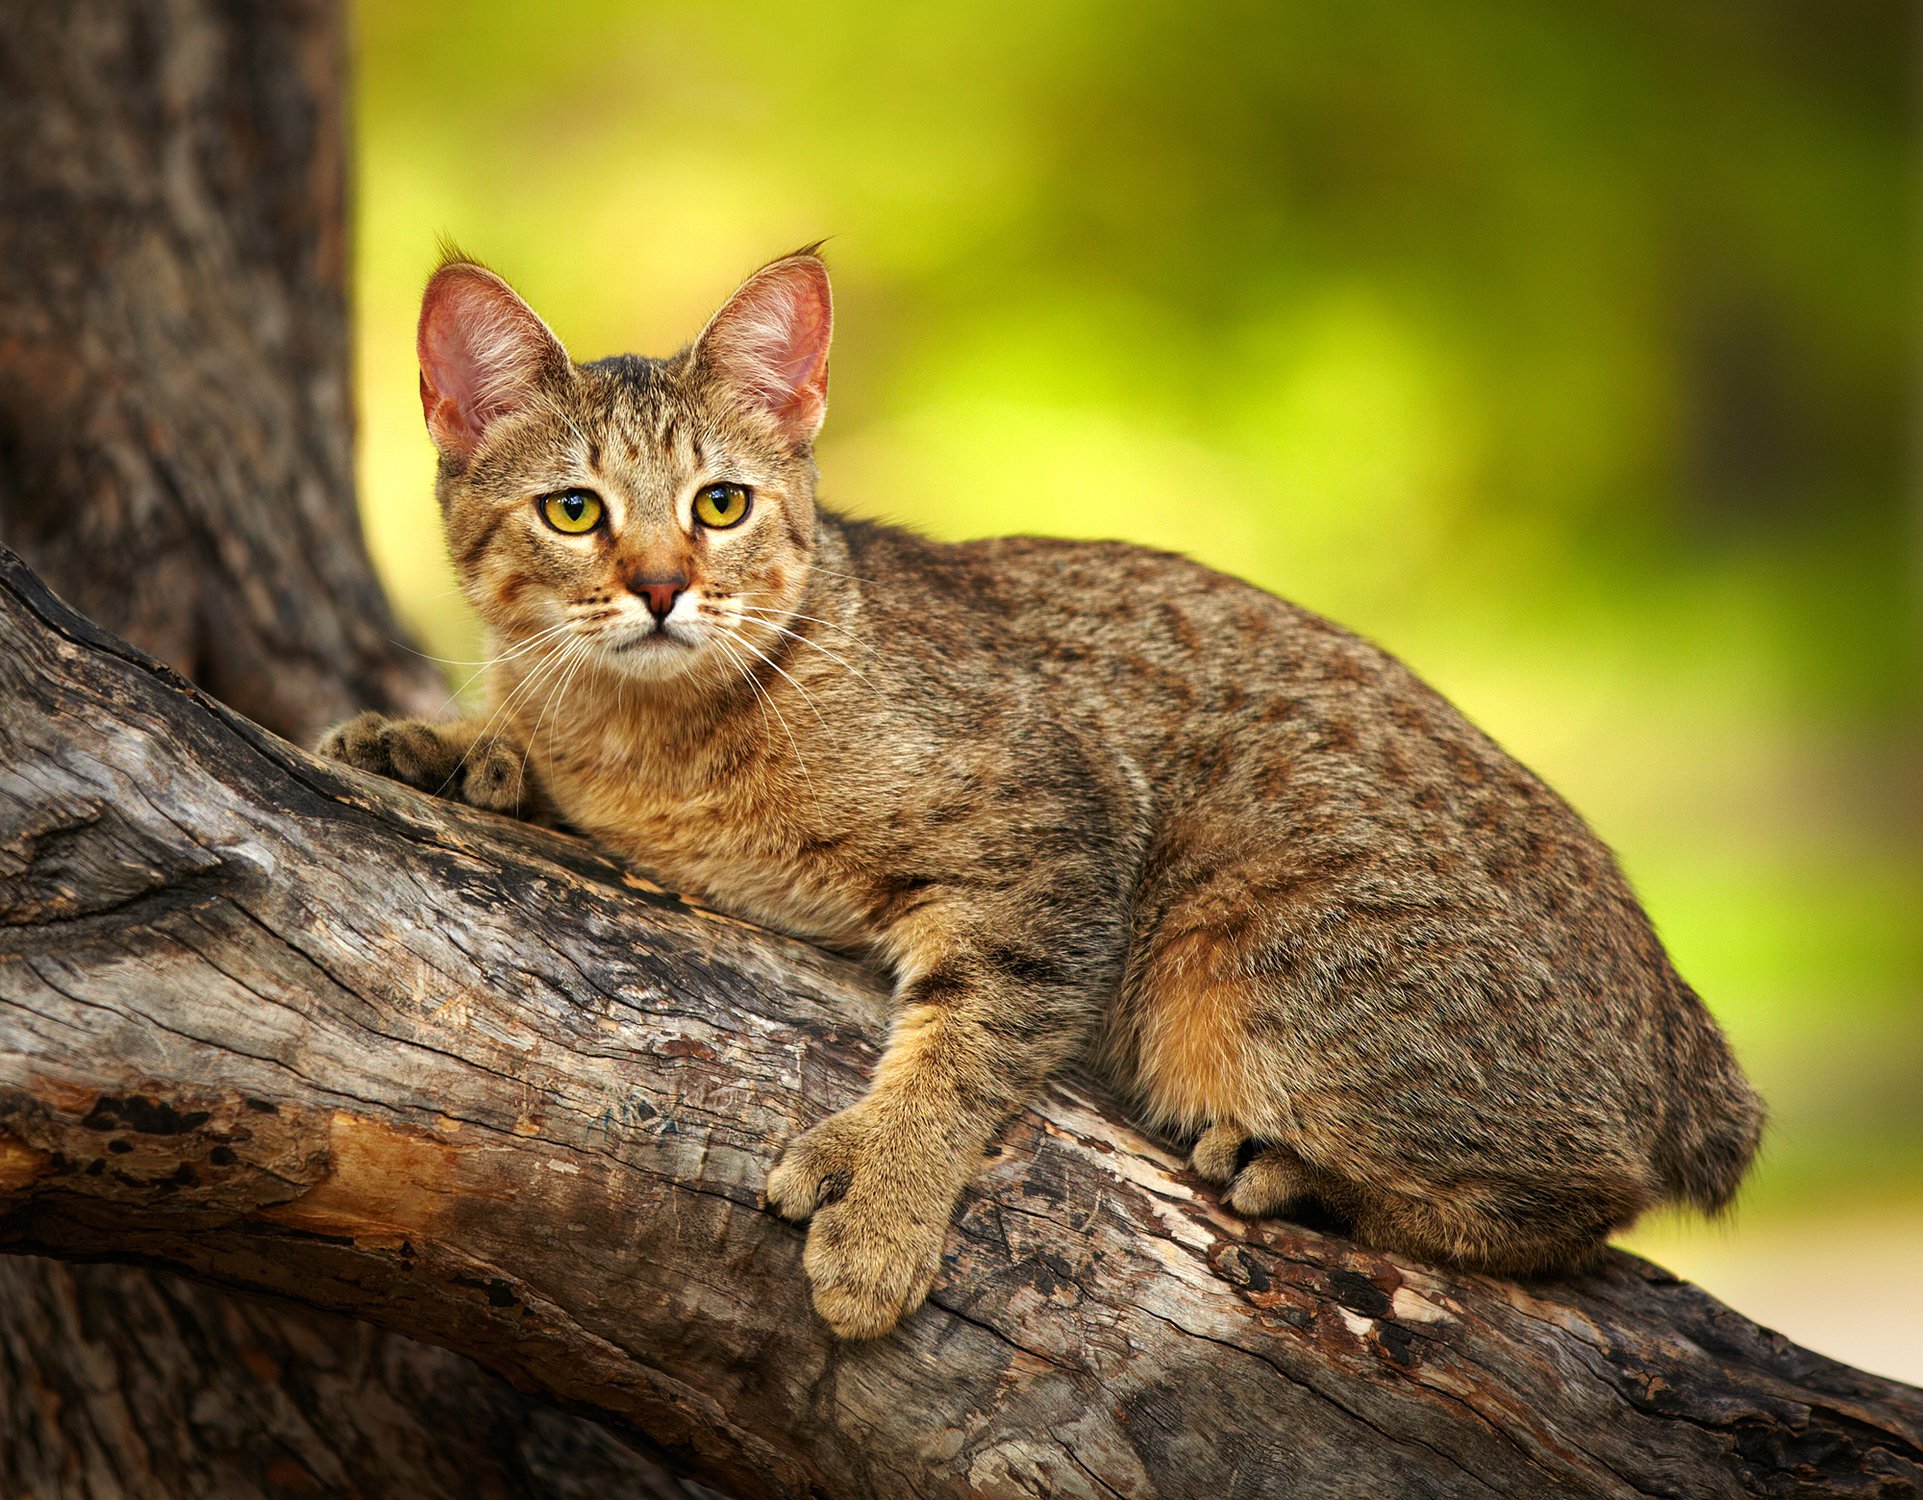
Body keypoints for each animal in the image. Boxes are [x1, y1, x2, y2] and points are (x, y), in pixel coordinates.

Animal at [323, 246, 1761, 1338]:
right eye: (573, 512)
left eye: (719, 504)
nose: (667, 587)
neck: (653, 740)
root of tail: (1680, 1027)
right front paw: (443, 742)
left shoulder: (1062, 832)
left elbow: (965, 1043)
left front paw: (882, 1197)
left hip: (1242, 963)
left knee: (1580, 1205)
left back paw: (1295, 1172)